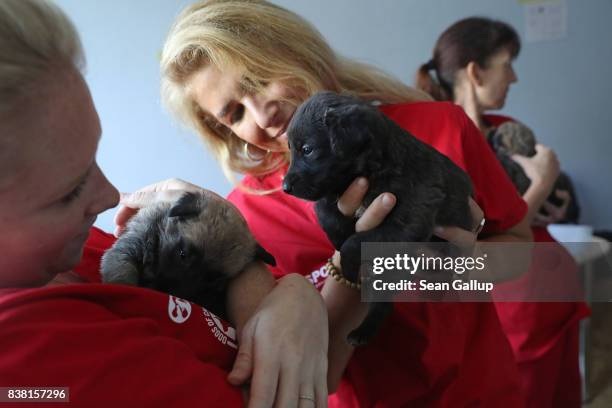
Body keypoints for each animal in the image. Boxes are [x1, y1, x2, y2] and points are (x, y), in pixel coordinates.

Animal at [284, 91, 476, 344]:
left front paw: (347, 263)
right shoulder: (334, 191)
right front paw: (338, 237)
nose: (284, 187)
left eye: (307, 149)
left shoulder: (408, 221)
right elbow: (324, 210)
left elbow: (354, 241)